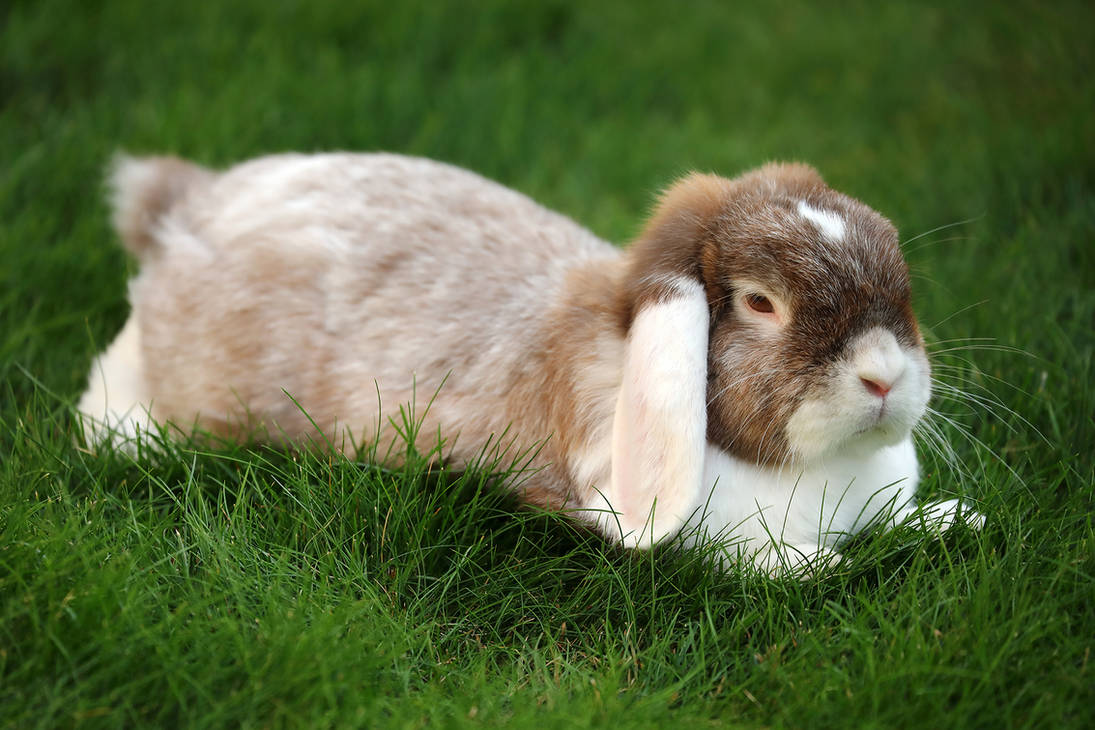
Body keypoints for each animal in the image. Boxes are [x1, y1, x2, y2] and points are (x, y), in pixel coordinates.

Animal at [78, 152, 984, 574]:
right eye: (760, 304)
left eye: (892, 258)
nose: (882, 375)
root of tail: (184, 210)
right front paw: (812, 565)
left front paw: (952, 521)